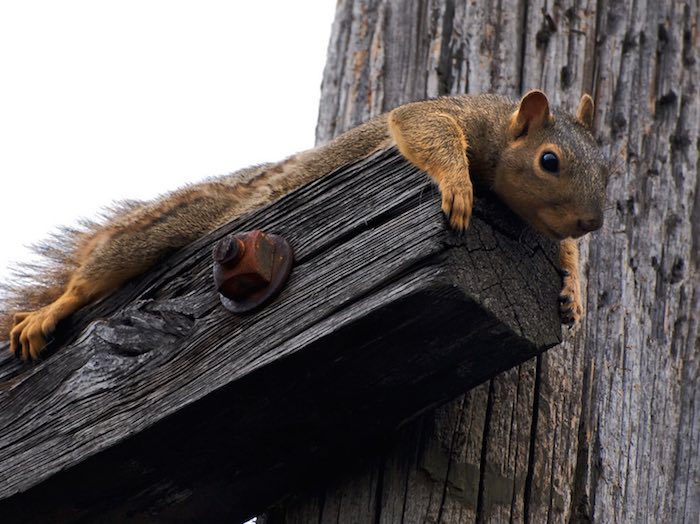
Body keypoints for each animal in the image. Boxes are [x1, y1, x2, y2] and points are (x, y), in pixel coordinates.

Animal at [1, 90, 608, 360]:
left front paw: (573, 292)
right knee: (96, 270)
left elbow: (563, 252)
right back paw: (49, 311)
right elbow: (420, 124)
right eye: (549, 161)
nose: (592, 221)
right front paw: (458, 185)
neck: (500, 125)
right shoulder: (453, 115)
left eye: (607, 167)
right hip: (164, 228)